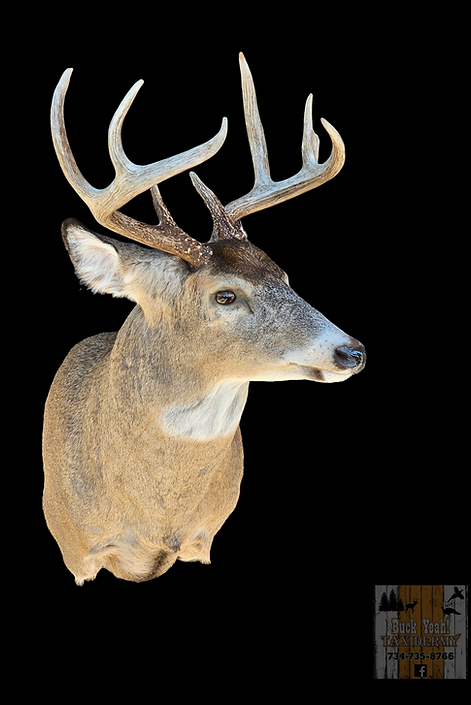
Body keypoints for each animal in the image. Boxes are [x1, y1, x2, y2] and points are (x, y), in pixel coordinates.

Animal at [43, 54, 366, 585]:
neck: (155, 516)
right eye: (225, 295)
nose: (352, 351)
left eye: (286, 275)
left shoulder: (205, 538)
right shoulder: (75, 544)